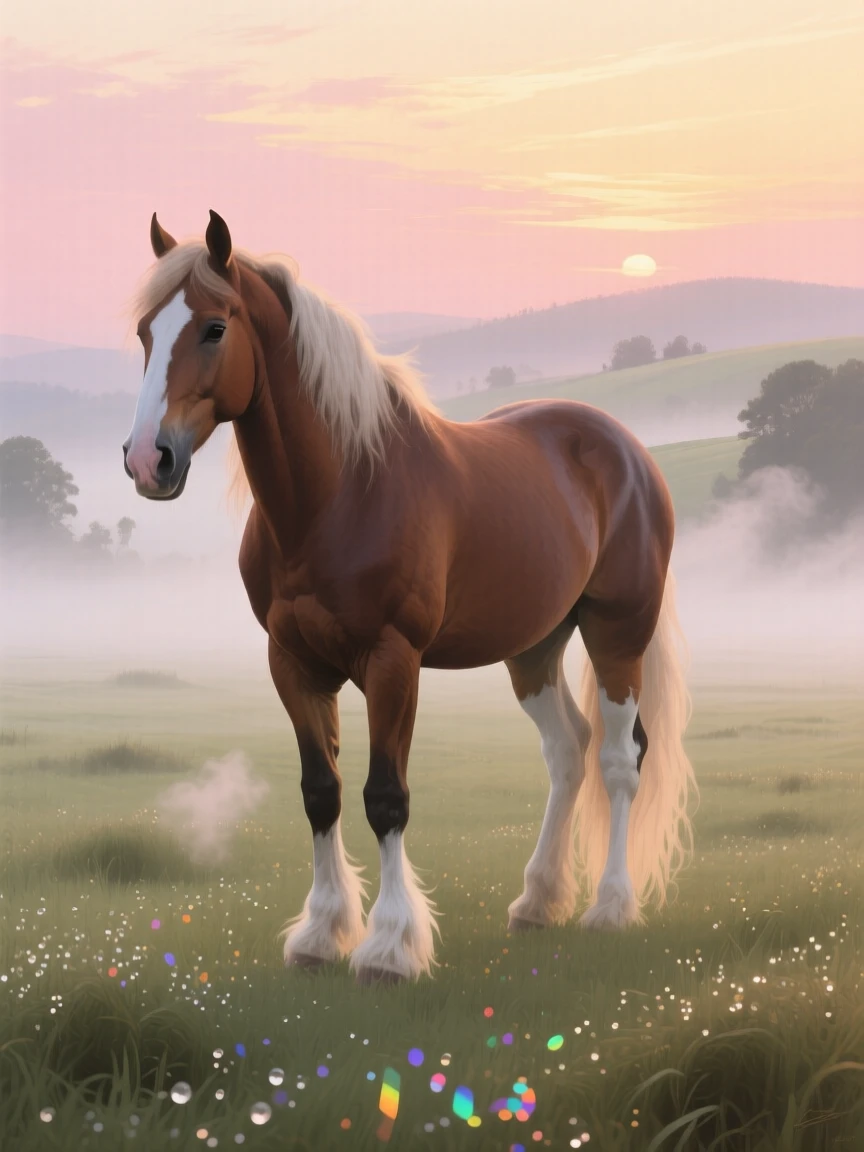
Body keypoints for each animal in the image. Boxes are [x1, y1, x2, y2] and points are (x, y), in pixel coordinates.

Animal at [123, 209, 697, 984]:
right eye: (145, 332)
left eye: (214, 328)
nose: (146, 460)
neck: (338, 496)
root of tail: (626, 449)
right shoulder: (292, 662)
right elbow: (322, 792)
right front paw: (320, 935)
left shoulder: (393, 661)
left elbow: (385, 798)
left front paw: (390, 949)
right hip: (534, 646)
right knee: (567, 751)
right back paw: (537, 902)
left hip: (617, 632)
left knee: (618, 758)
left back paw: (609, 908)